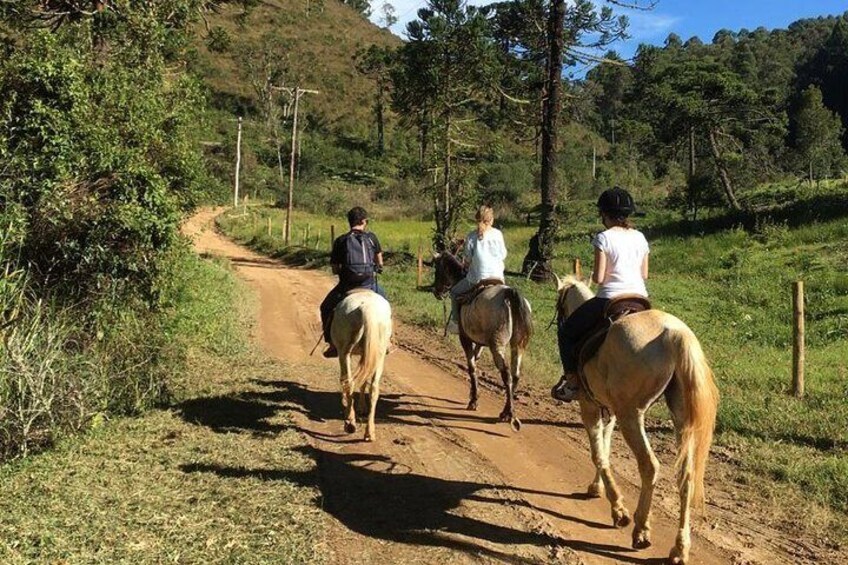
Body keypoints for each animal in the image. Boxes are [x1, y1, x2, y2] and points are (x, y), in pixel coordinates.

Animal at [332, 290, 396, 440]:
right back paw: (369, 432)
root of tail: (366, 308)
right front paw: (362, 407)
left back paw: (350, 422)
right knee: (374, 389)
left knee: (348, 382)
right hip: (378, 355)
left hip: (344, 353)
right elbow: (364, 382)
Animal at [434, 252, 532, 432]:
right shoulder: (480, 342)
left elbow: (472, 366)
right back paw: (506, 410)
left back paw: (509, 414)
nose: (437, 292)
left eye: (437, 269)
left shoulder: (465, 338)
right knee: (515, 375)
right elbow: (476, 360)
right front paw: (473, 394)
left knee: (506, 373)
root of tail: (509, 293)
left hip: (497, 346)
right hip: (518, 345)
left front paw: (473, 400)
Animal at [552, 274, 720, 564]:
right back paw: (679, 548)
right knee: (685, 477)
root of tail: (674, 334)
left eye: (558, 306)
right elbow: (605, 448)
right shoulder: (607, 409)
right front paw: (597, 488)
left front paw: (618, 509)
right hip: (679, 417)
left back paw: (641, 529)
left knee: (650, 466)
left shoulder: (589, 406)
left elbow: (598, 453)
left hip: (631, 415)